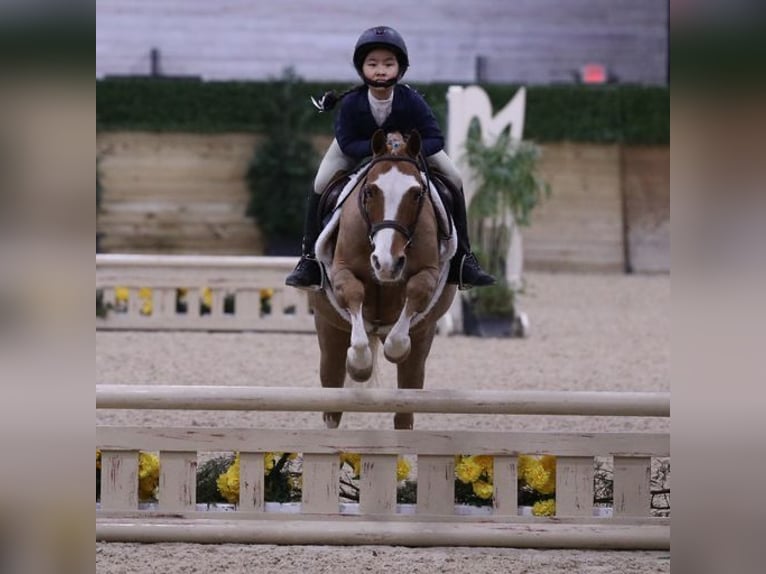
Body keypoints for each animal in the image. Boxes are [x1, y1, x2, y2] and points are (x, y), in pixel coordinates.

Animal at [310, 129, 456, 428]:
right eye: (369, 191)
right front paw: (360, 363)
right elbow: (353, 293)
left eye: (416, 194)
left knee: (405, 413)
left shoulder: (429, 273)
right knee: (332, 406)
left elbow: (416, 291)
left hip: (423, 341)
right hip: (329, 332)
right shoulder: (341, 271)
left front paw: (395, 347)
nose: (386, 263)